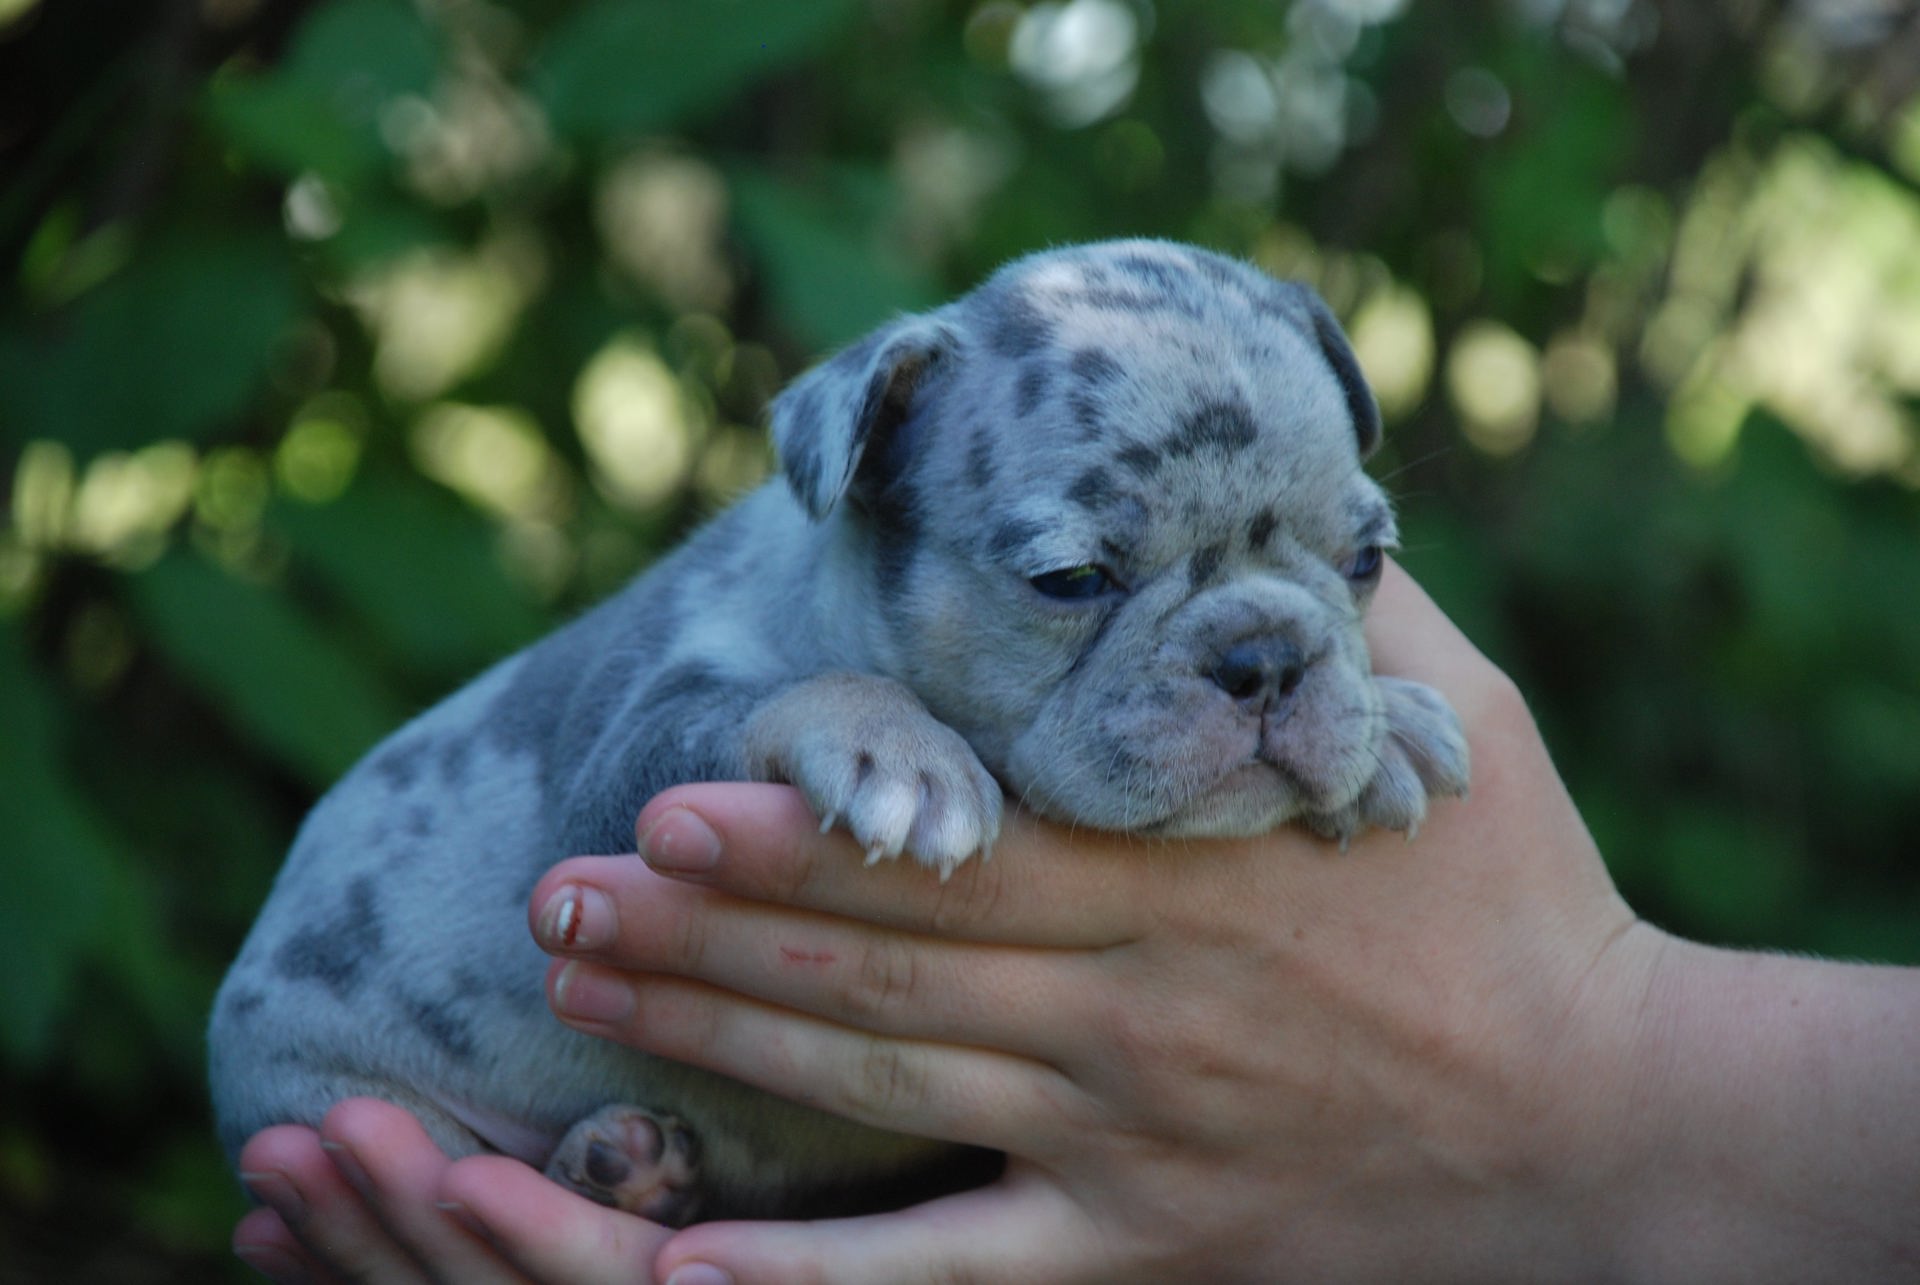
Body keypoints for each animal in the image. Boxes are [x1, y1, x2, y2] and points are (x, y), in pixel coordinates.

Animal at [210, 238, 1459, 1221]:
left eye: (1366, 560)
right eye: (1071, 579)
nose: (1265, 657)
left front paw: (1390, 725)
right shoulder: (626, 765)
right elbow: (778, 698)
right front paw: (896, 747)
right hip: (319, 1093)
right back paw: (613, 1165)